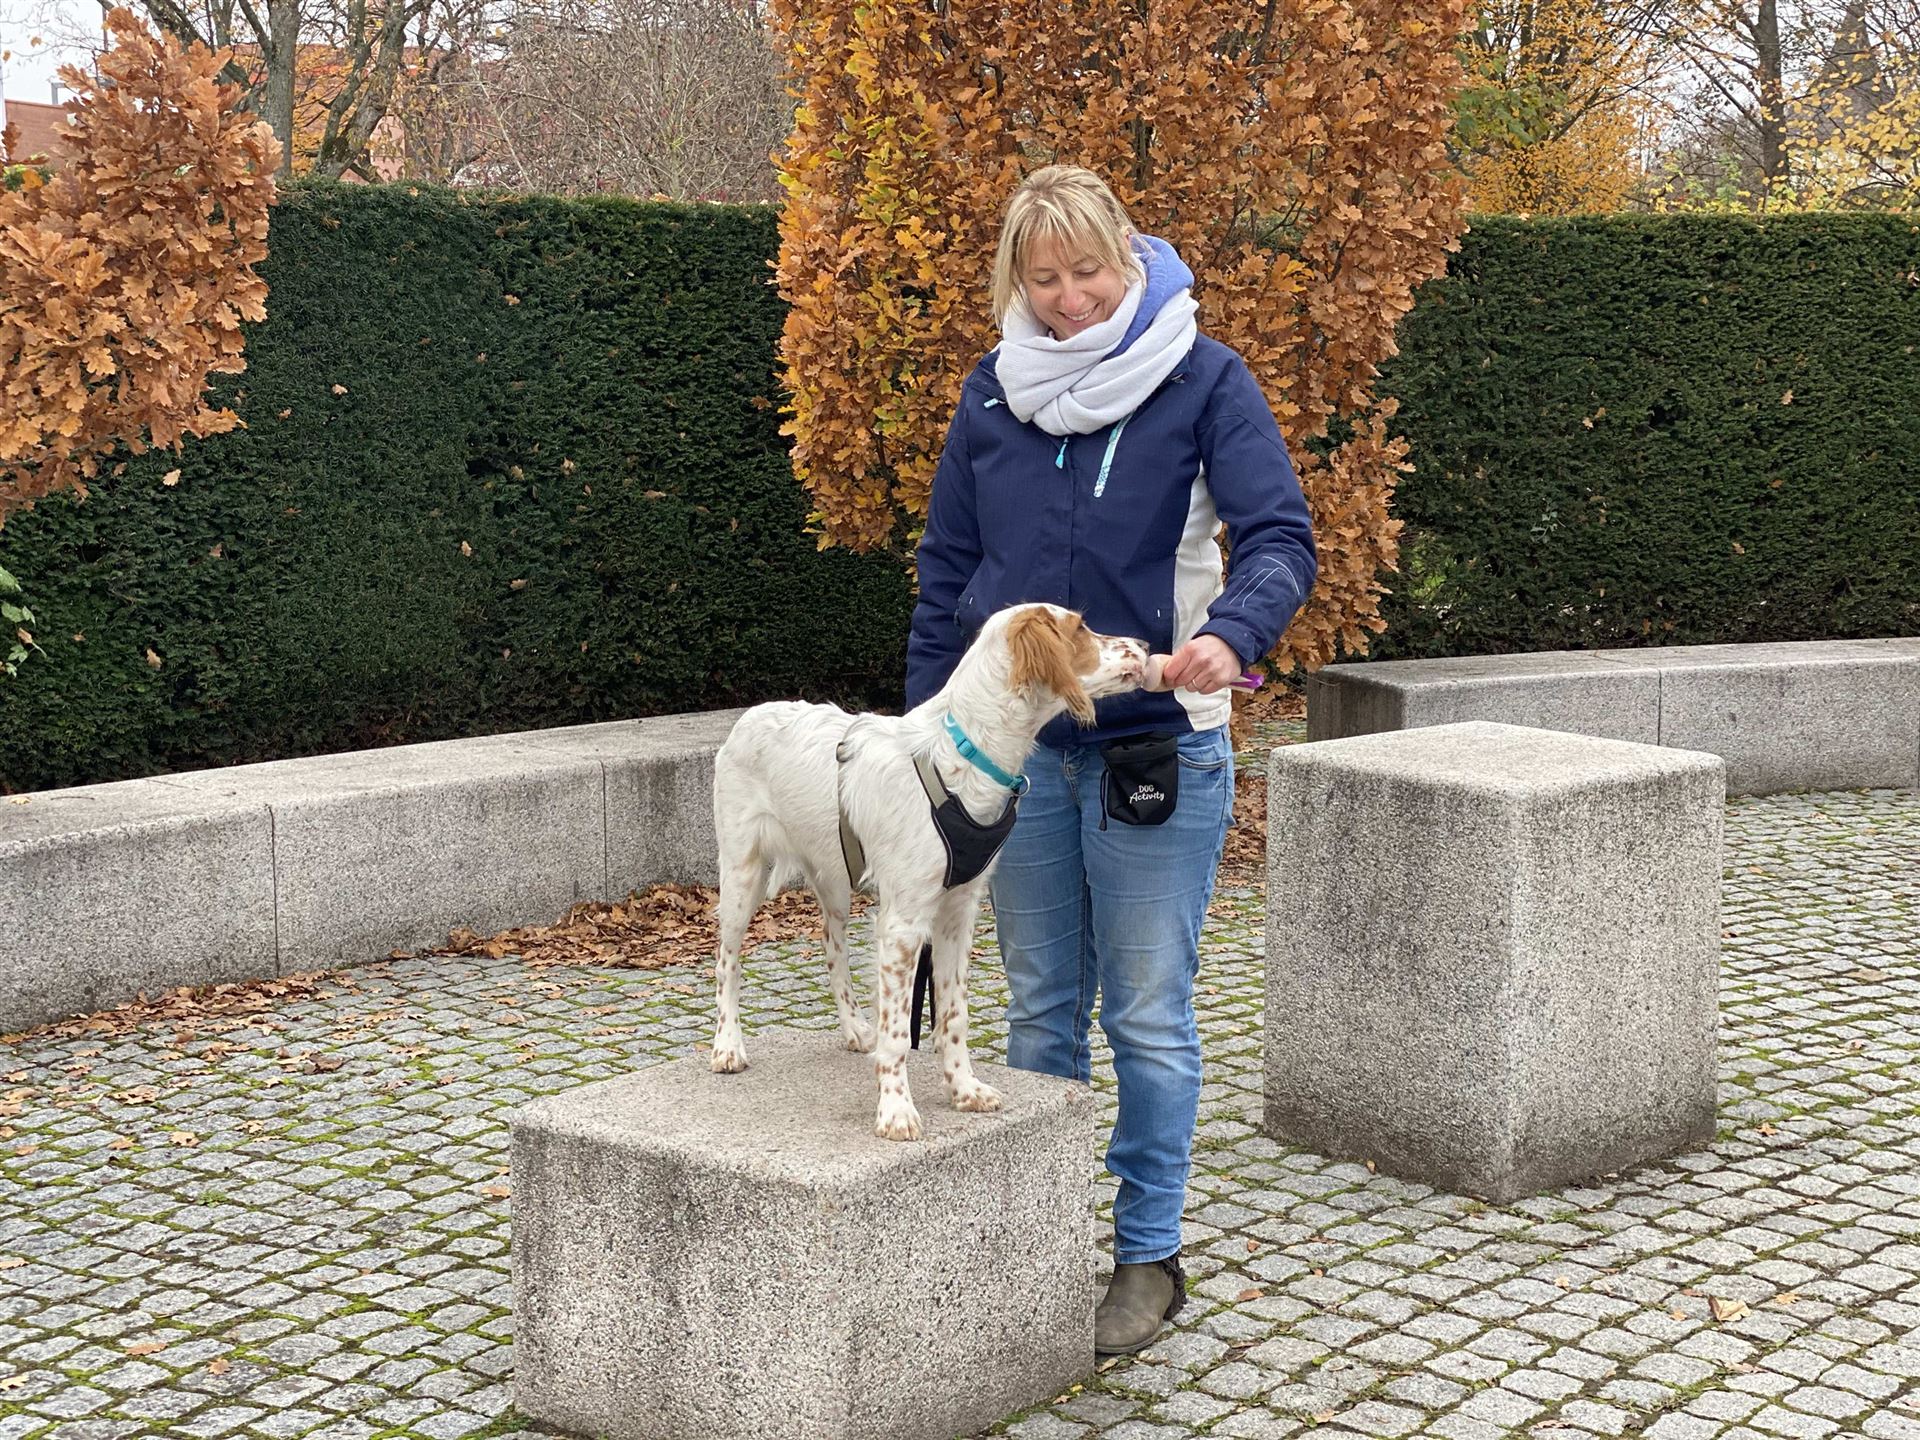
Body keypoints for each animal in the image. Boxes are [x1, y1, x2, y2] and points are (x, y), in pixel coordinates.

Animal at [709, 603, 1148, 1139]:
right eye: (1081, 627)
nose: (1145, 646)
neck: (965, 756)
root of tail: (750, 714)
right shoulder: (904, 923)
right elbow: (899, 1034)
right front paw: (896, 1110)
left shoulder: (958, 912)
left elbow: (952, 1016)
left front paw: (964, 1089)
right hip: (741, 873)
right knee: (727, 961)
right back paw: (728, 1046)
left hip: (834, 878)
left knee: (832, 947)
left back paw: (854, 1027)